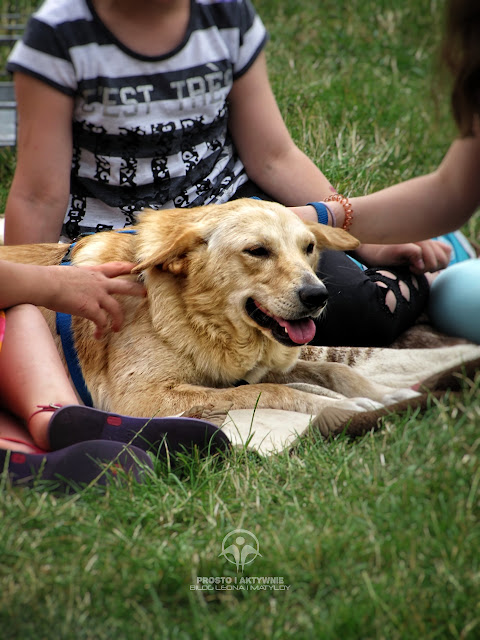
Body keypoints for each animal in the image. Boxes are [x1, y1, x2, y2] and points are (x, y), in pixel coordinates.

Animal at [0, 199, 416, 430]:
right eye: (257, 251)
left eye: (309, 247)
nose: (318, 296)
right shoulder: (141, 399)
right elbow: (269, 391)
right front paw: (338, 406)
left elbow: (334, 370)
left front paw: (386, 394)